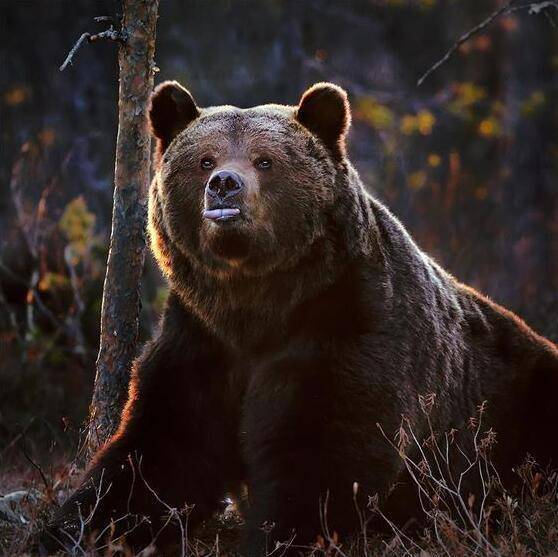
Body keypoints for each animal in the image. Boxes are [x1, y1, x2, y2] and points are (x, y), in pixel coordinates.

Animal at [42, 80, 558, 552]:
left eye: (264, 160)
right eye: (204, 159)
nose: (224, 186)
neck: (259, 305)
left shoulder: (349, 325)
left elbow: (320, 456)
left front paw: (280, 536)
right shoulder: (201, 338)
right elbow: (161, 449)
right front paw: (72, 528)